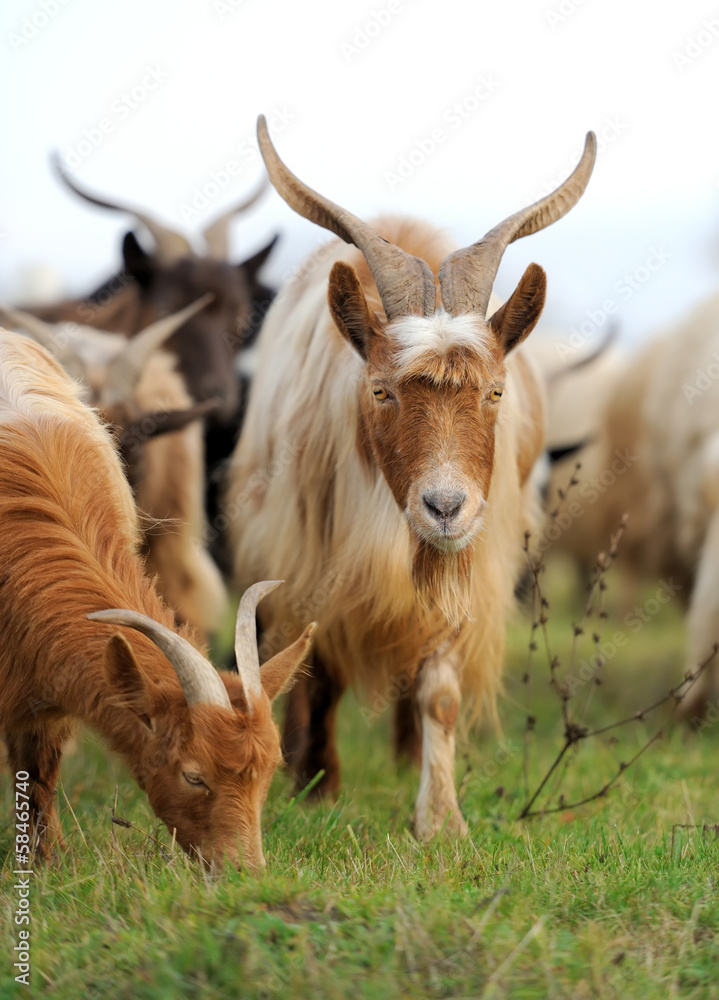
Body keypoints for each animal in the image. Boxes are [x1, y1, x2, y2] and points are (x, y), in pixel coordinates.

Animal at [226, 115, 596, 836]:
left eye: (494, 392)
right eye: (380, 391)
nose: (444, 506)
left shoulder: (469, 562)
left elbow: (439, 690)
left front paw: (441, 819)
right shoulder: (313, 556)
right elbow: (317, 669)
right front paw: (317, 787)